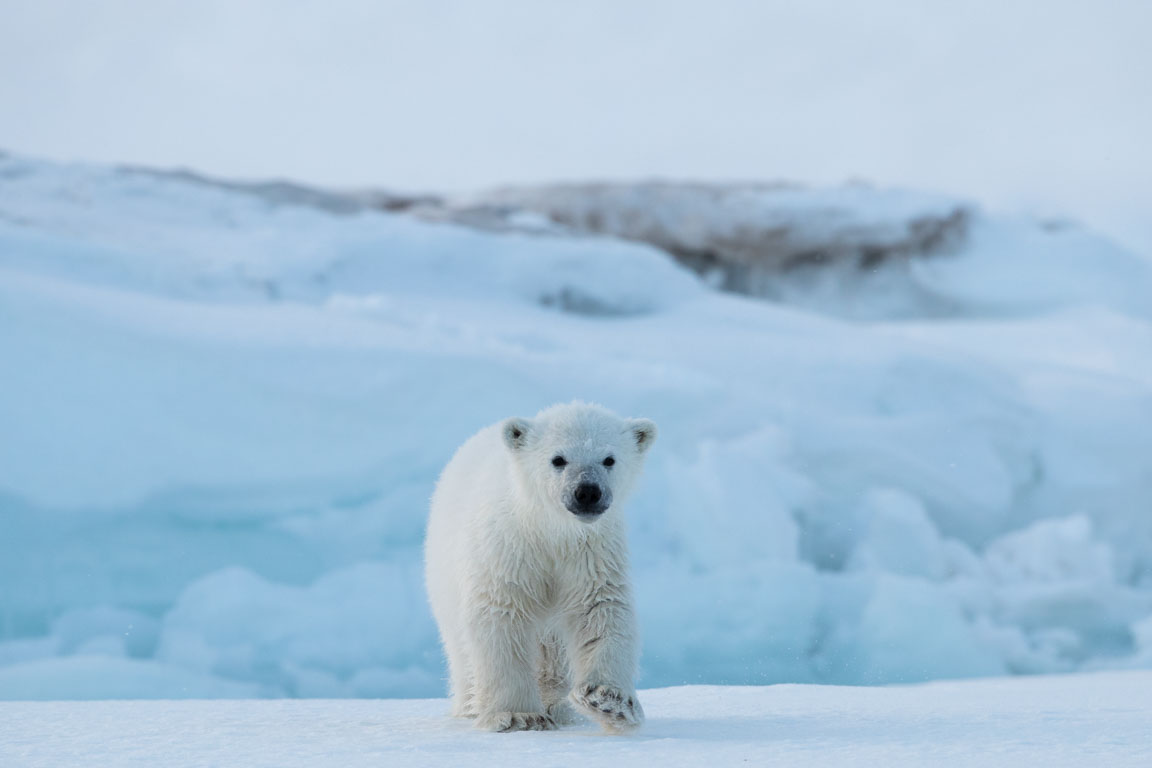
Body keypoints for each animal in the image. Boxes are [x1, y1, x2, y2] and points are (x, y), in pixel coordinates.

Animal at [423, 402, 658, 732]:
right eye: (558, 459)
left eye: (609, 459)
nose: (587, 491)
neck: (550, 531)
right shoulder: (508, 551)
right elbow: (502, 617)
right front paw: (517, 715)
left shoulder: (592, 555)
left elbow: (601, 611)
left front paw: (608, 701)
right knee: (461, 650)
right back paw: (470, 707)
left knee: (553, 652)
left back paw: (557, 706)